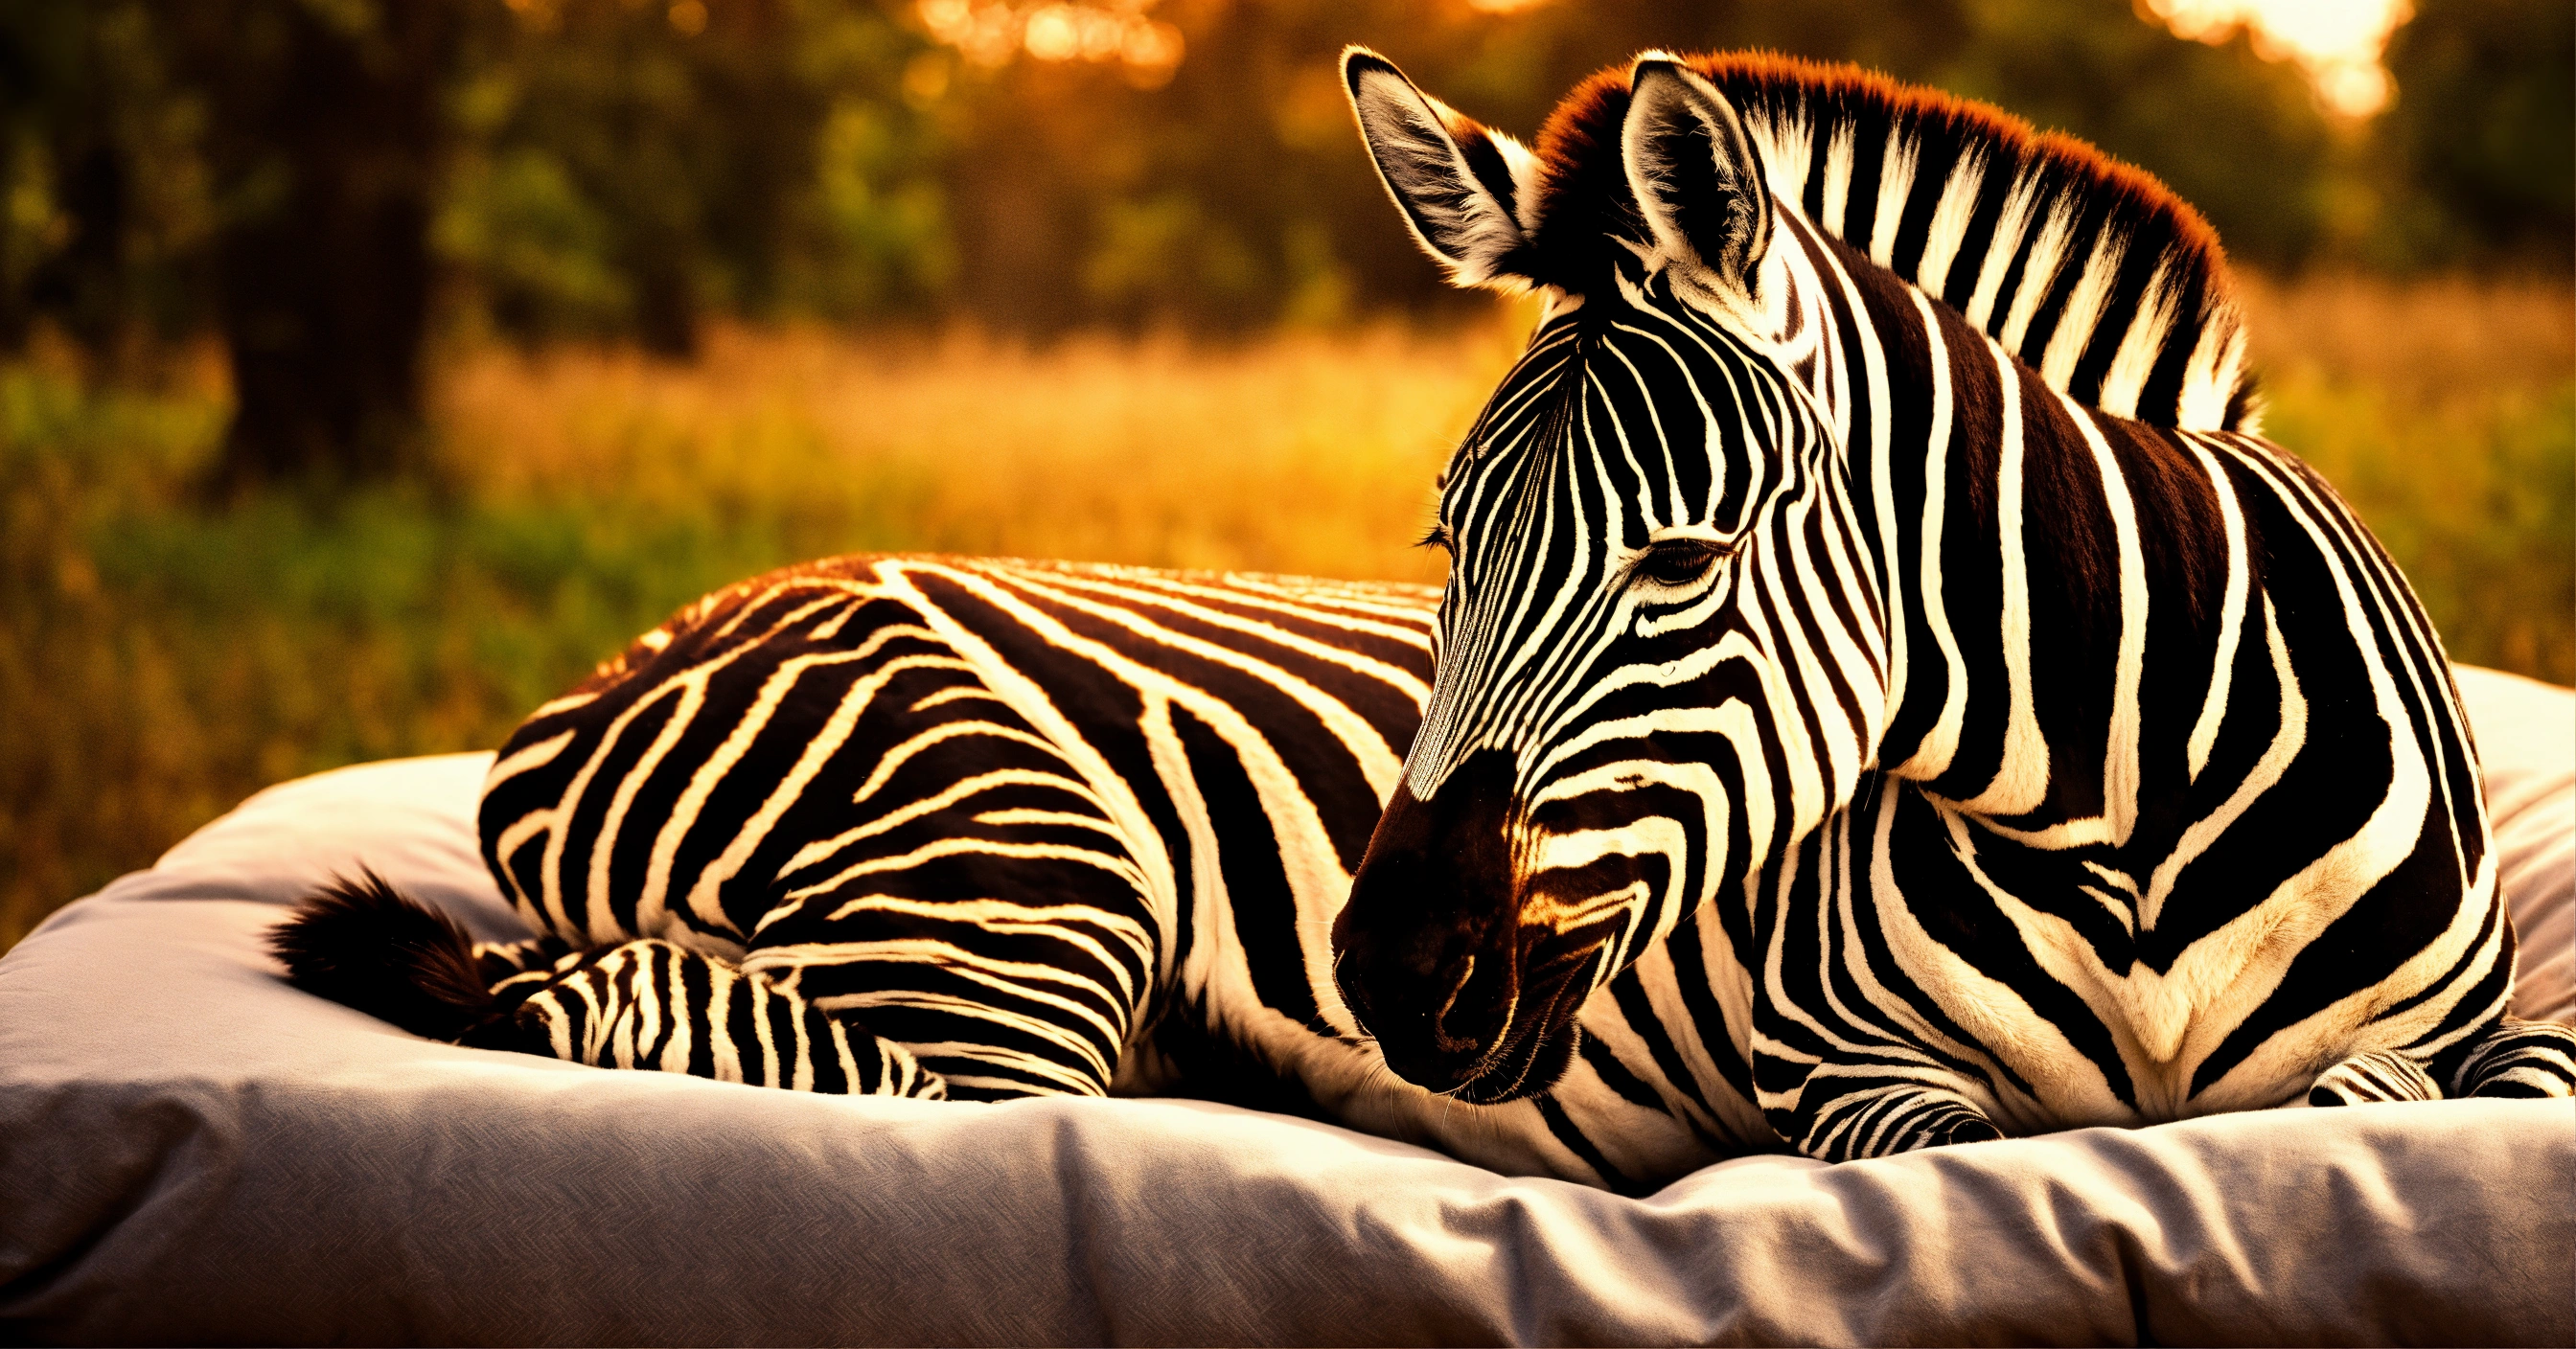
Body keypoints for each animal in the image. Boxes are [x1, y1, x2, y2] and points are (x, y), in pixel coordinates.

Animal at [275, 48, 2576, 1192]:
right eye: (1440, 537)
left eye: (1681, 561)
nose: (1387, 965)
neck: (2134, 814)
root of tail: (614, 673)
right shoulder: (1851, 1085)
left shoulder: (2469, 1055)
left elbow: (2370, 1114)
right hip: (1025, 891)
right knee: (745, 1039)